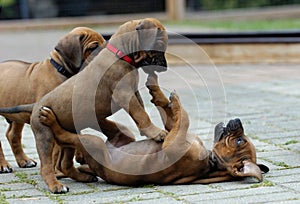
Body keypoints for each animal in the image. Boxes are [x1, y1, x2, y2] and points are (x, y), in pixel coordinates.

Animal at [0, 27, 106, 173]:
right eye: (93, 47)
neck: (62, 70)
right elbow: (56, 147)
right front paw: (57, 169)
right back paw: (3, 165)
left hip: (16, 112)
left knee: (12, 135)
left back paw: (24, 161)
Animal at [38, 73, 268, 188]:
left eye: (239, 142)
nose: (238, 120)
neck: (210, 161)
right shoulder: (171, 132)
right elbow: (172, 116)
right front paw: (160, 93)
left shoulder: (171, 142)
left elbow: (183, 117)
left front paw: (175, 99)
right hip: (123, 133)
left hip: (93, 144)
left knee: (67, 137)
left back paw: (51, 120)